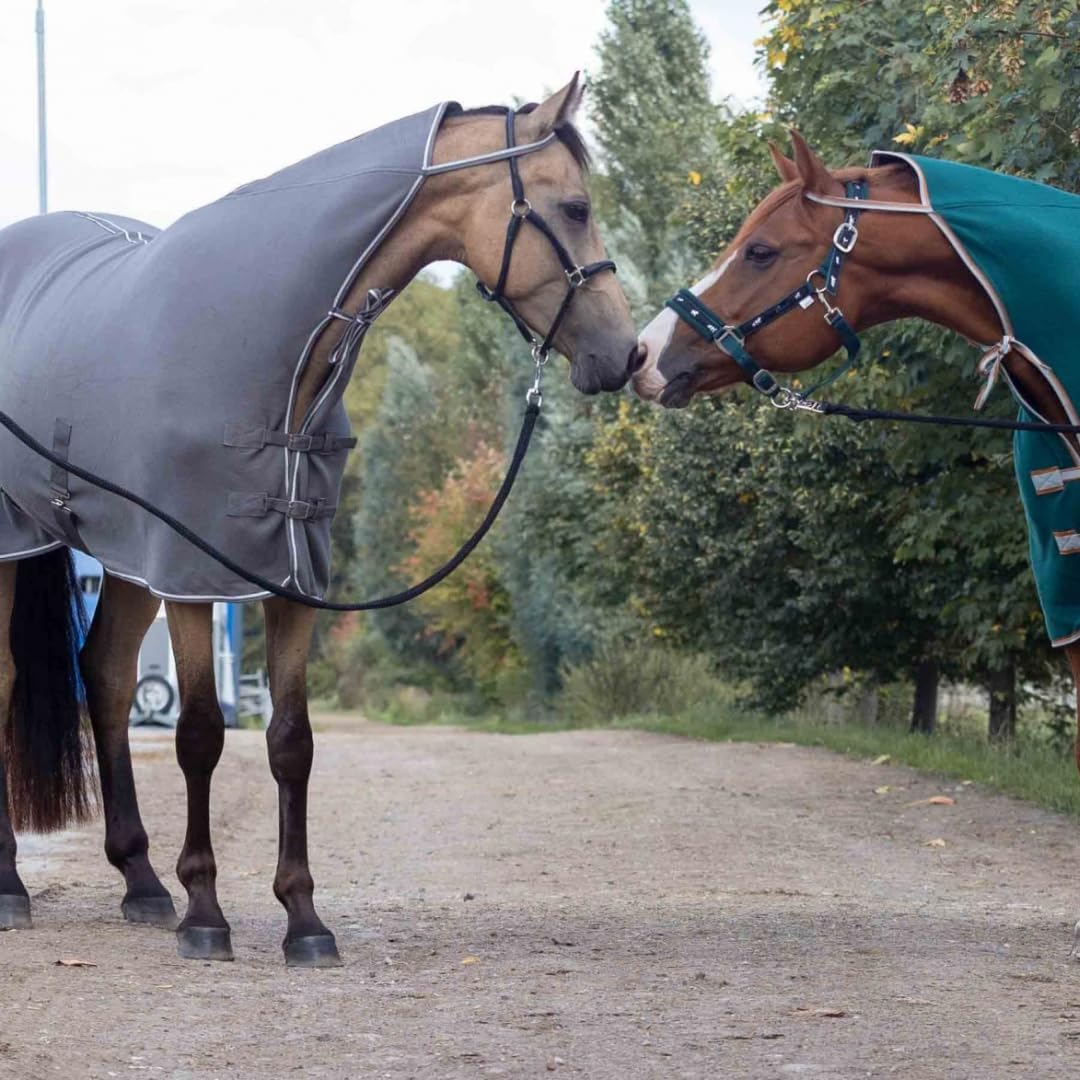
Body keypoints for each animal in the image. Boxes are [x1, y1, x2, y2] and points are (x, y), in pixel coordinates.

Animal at [0, 74, 641, 967]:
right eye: (575, 206)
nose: (626, 355)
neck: (281, 362)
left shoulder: (285, 573)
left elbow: (291, 742)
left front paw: (302, 918)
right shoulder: (197, 571)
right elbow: (201, 733)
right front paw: (207, 914)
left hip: (127, 557)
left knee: (105, 674)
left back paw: (141, 882)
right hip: (22, 543)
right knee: (7, 682)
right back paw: (11, 887)